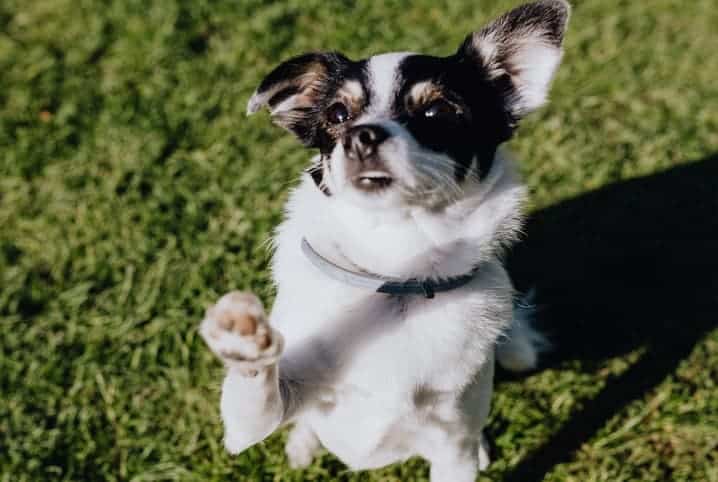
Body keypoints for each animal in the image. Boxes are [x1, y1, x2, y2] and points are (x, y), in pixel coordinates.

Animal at [200, 1, 572, 480]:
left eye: (437, 112)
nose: (362, 135)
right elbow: (255, 393)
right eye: (338, 115)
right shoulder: (250, 424)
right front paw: (242, 336)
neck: (396, 274)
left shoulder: (452, 447)